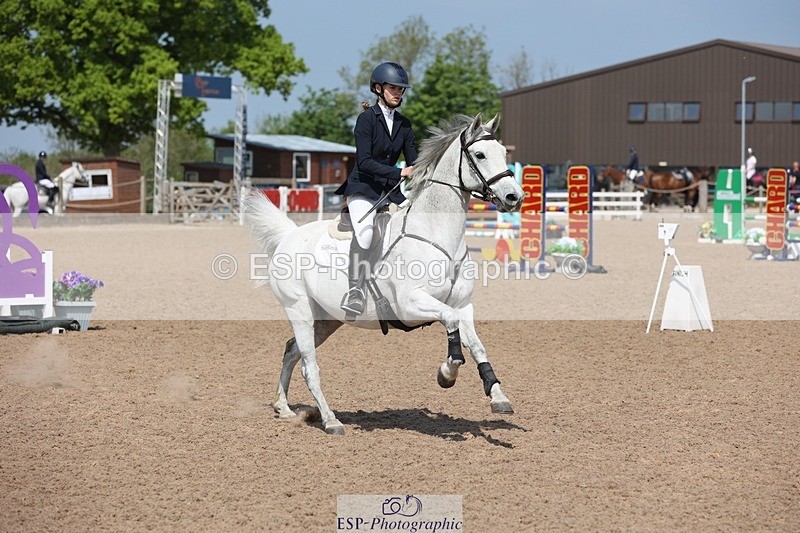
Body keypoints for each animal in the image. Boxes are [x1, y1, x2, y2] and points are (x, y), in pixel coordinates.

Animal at [242, 113, 524, 435]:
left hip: (327, 319)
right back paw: (330, 420)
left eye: (503, 153)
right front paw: (447, 373)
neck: (436, 235)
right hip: (298, 308)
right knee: (308, 366)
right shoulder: (411, 304)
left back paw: (284, 407)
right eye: (479, 155)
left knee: (292, 351)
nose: (514, 197)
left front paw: (498, 396)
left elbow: (477, 345)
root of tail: (290, 235)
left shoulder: (463, 305)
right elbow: (450, 324)